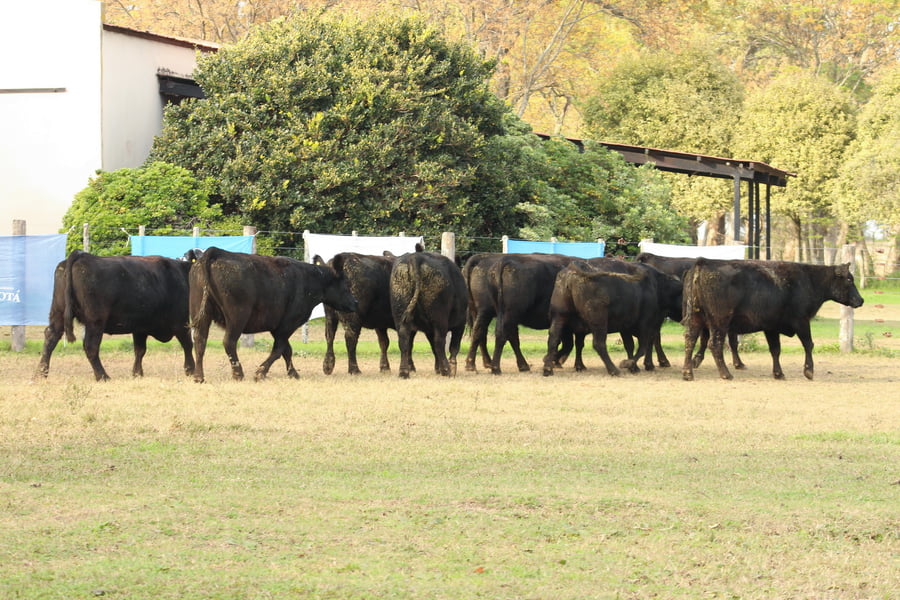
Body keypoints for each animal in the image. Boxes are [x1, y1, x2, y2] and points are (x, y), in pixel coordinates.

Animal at [35, 249, 199, 381]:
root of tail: (82, 256)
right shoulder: (180, 321)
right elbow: (188, 344)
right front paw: (191, 370)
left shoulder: (140, 327)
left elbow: (140, 350)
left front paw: (137, 373)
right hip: (95, 321)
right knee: (90, 346)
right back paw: (103, 376)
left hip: (58, 312)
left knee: (51, 337)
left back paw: (41, 373)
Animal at [189, 247, 358, 383]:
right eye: (345, 284)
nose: (355, 302)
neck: (310, 280)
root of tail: (215, 252)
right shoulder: (287, 324)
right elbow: (279, 349)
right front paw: (260, 372)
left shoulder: (277, 327)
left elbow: (286, 350)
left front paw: (293, 373)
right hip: (237, 317)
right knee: (229, 342)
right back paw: (238, 373)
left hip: (202, 313)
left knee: (200, 341)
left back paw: (198, 376)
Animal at [390, 247, 468, 379]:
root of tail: (416, 257)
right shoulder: (460, 323)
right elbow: (454, 346)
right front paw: (451, 368)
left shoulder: (429, 330)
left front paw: (438, 368)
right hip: (439, 318)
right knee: (439, 341)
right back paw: (447, 370)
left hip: (400, 314)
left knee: (404, 341)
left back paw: (404, 372)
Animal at [681, 258, 864, 381]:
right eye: (849, 279)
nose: (860, 300)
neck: (810, 280)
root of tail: (703, 262)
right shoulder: (801, 321)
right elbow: (808, 344)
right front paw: (809, 371)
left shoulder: (771, 327)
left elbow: (775, 349)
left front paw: (778, 373)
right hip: (719, 321)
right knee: (714, 344)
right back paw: (726, 374)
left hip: (696, 319)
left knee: (690, 340)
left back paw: (688, 373)